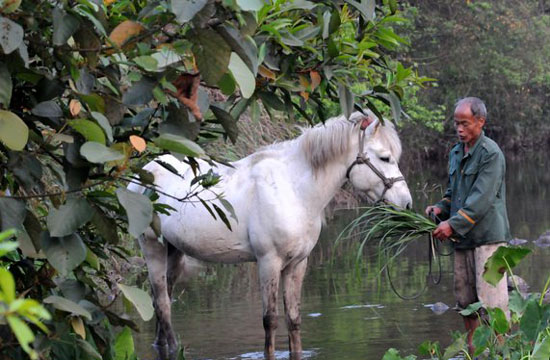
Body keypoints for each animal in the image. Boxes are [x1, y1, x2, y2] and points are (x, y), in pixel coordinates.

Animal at [130, 111, 414, 358]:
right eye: (385, 158)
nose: (407, 203)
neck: (293, 190)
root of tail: (140, 176)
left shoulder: (297, 264)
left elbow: (294, 319)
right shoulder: (269, 262)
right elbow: (270, 320)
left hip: (173, 251)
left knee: (161, 301)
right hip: (152, 248)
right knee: (163, 304)